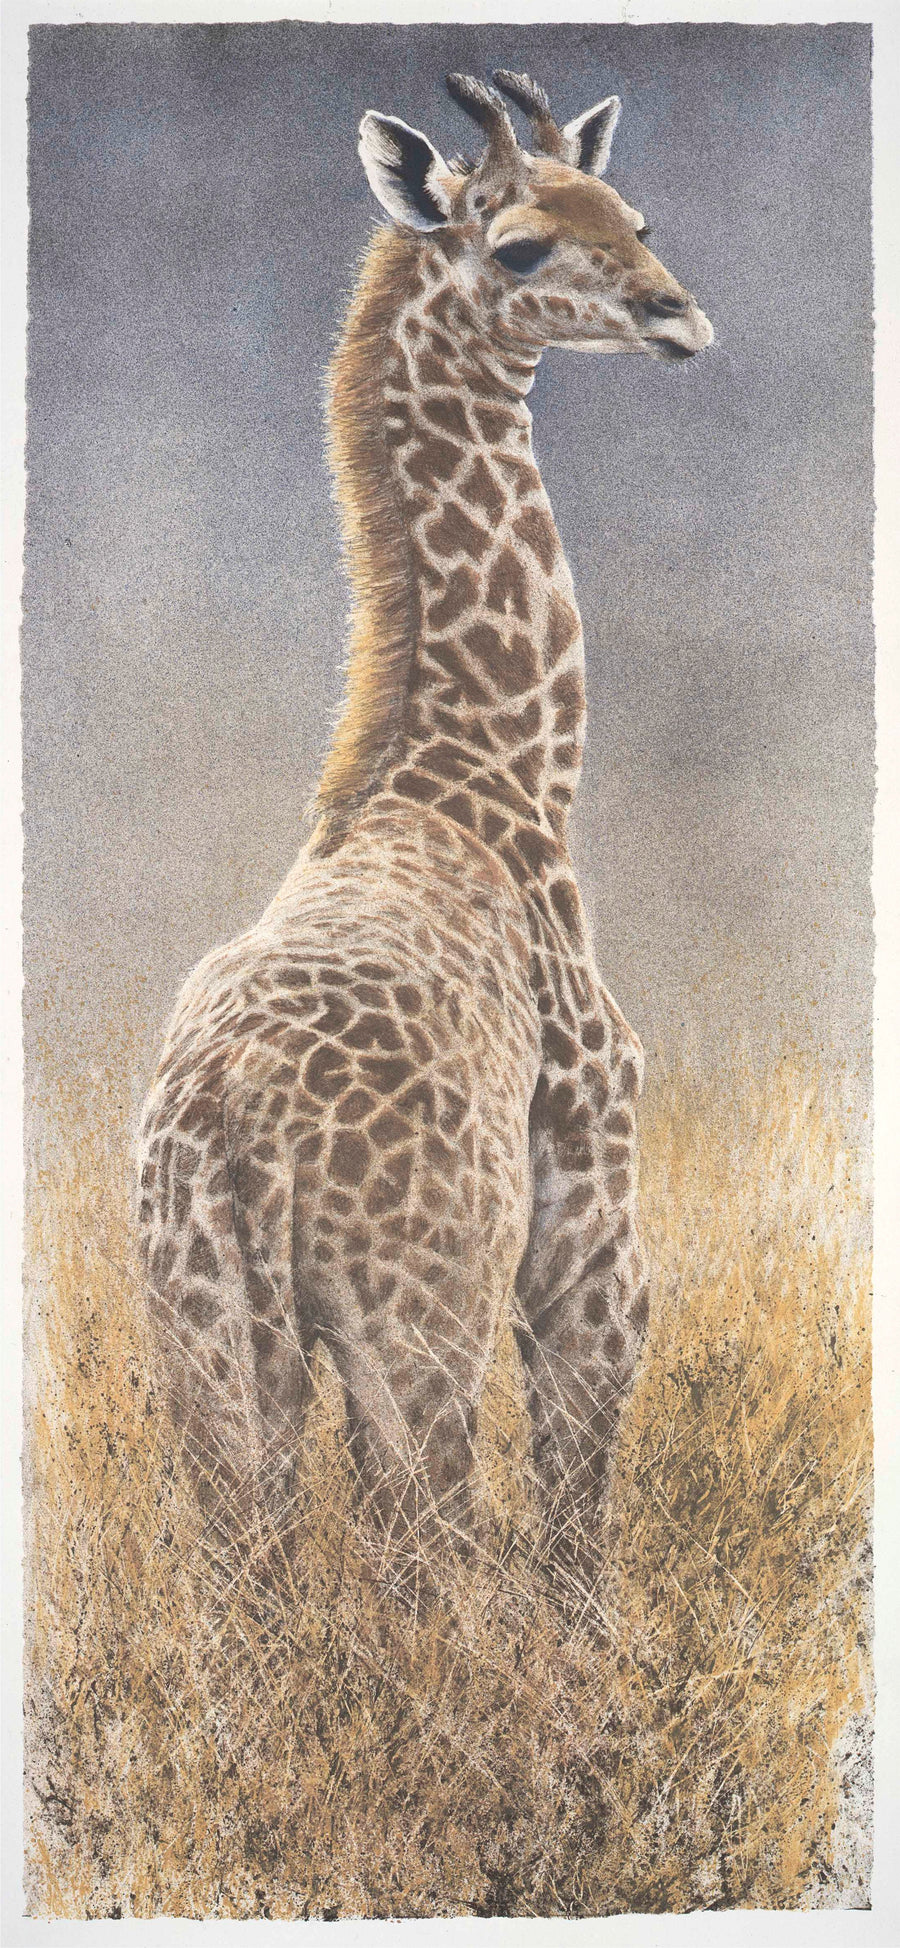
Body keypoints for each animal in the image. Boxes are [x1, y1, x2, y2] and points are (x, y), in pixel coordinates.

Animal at [138, 71, 712, 1570]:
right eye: (518, 245)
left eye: (631, 213)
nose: (677, 317)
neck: (497, 777)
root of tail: (234, 1117)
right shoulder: (590, 1212)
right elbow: (573, 1525)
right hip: (411, 1321)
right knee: (430, 1554)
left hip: (209, 1341)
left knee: (252, 1571)